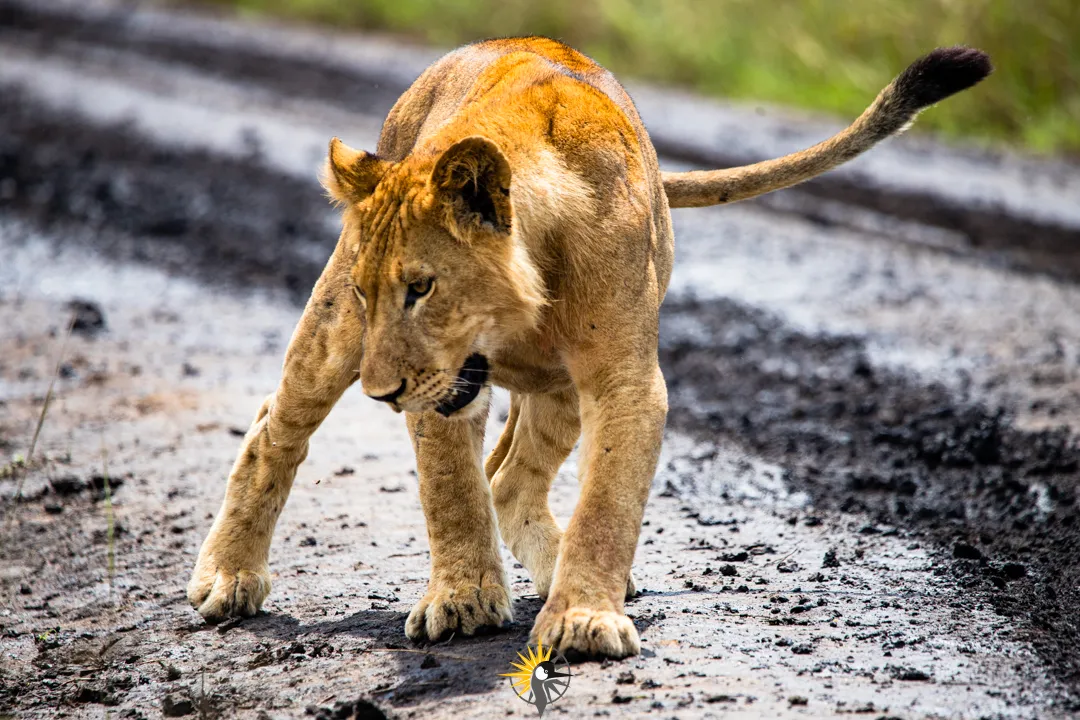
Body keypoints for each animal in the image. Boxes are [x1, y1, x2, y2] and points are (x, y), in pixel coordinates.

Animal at [185, 38, 989, 660]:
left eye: (421, 287)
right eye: (367, 292)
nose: (381, 395)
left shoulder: (622, 380)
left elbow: (608, 501)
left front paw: (581, 616)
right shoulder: (439, 385)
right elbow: (450, 490)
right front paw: (466, 600)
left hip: (558, 393)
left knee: (512, 480)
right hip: (335, 344)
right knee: (274, 428)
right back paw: (227, 578)